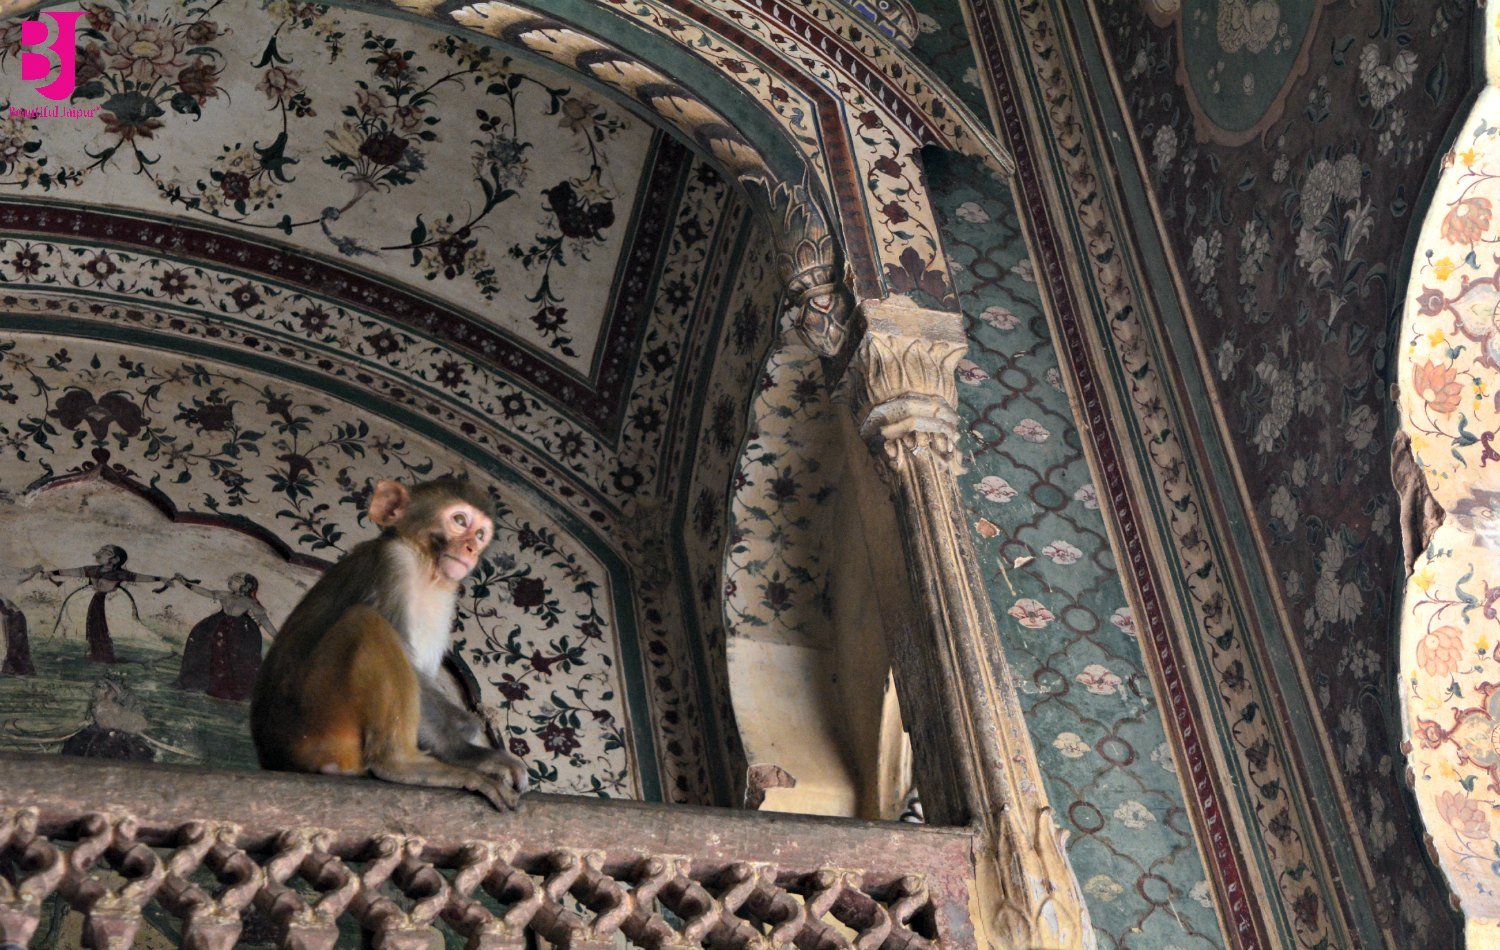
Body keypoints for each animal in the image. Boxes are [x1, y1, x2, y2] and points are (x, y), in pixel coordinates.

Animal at [250, 476, 529, 809]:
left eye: (481, 534)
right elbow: (411, 668)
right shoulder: (393, 563)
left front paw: (469, 728)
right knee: (367, 623)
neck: (426, 568)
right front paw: (470, 754)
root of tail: (271, 757)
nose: (472, 548)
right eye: (460, 521)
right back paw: (400, 763)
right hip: (313, 723)